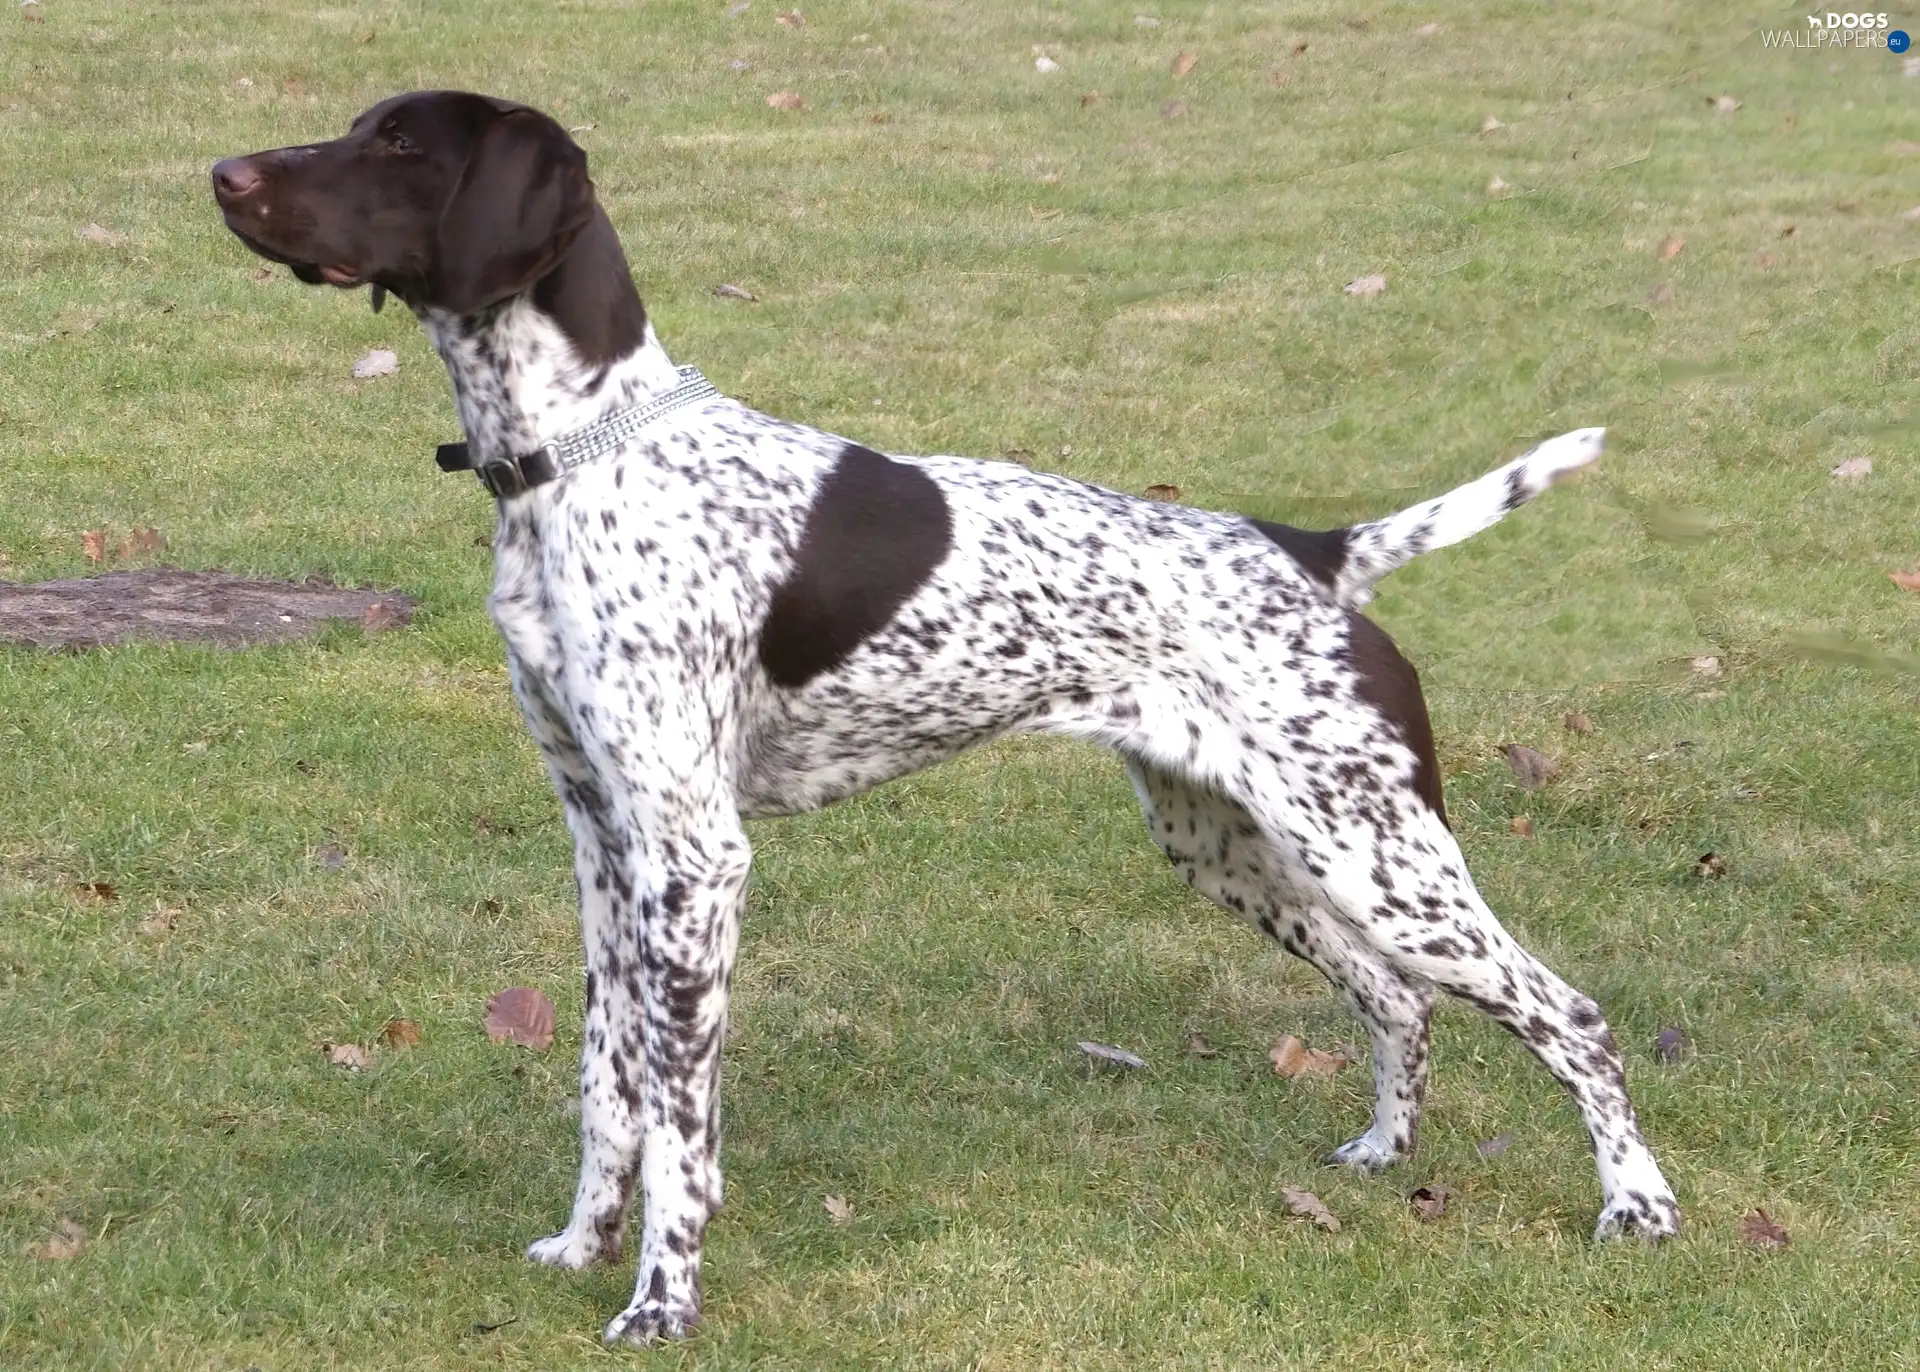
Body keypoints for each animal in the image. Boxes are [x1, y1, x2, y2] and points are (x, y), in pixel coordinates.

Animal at [214, 91, 1681, 1350]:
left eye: (401, 144)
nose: (223, 176)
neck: (582, 457)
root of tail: (1320, 553)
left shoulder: (695, 859)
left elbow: (682, 1124)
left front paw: (660, 1303)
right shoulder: (603, 844)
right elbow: (605, 1083)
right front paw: (585, 1246)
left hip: (1381, 857)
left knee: (1573, 1017)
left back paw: (1639, 1206)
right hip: (1238, 848)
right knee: (1396, 998)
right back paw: (1385, 1155)